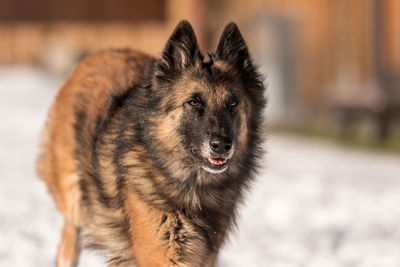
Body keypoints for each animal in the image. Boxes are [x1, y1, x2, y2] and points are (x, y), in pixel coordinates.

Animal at [37, 21, 266, 267]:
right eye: (194, 102)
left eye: (232, 103)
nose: (222, 145)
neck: (193, 187)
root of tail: (100, 53)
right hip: (75, 200)